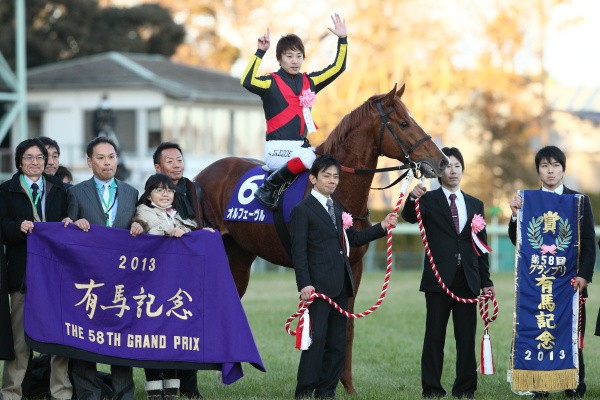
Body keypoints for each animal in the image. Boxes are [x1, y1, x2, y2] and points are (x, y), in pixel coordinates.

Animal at [195, 84, 448, 394]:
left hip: (239, 257)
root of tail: (203, 174)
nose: (441, 162)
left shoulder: (353, 268)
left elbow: (347, 326)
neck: (338, 192)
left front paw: (347, 386)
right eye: (404, 123)